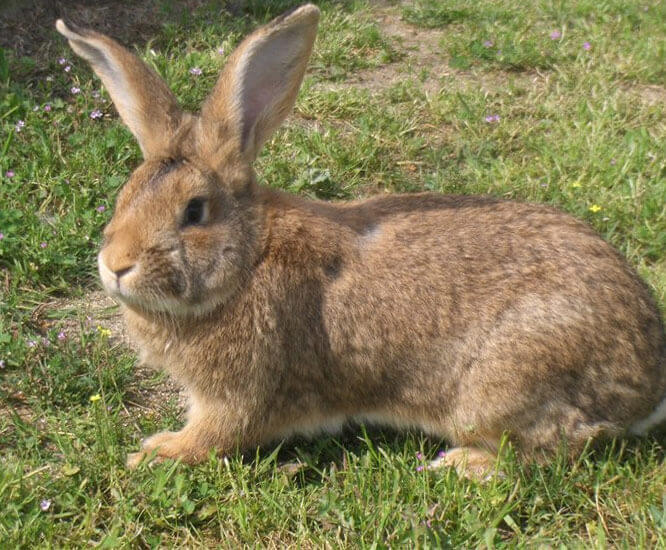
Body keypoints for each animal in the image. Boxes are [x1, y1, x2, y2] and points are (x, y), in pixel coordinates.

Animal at [56, 4, 666, 478]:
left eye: (194, 212)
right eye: (124, 196)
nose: (115, 265)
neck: (250, 259)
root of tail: (647, 379)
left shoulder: (239, 392)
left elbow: (216, 434)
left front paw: (157, 453)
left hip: (503, 388)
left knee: (560, 444)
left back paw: (463, 465)